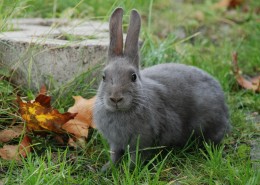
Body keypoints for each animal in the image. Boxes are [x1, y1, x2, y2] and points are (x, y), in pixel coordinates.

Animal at [93, 7, 230, 169]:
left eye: (133, 77)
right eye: (103, 76)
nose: (115, 98)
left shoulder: (142, 142)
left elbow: (135, 158)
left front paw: (129, 169)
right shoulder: (115, 143)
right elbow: (115, 155)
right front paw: (107, 168)